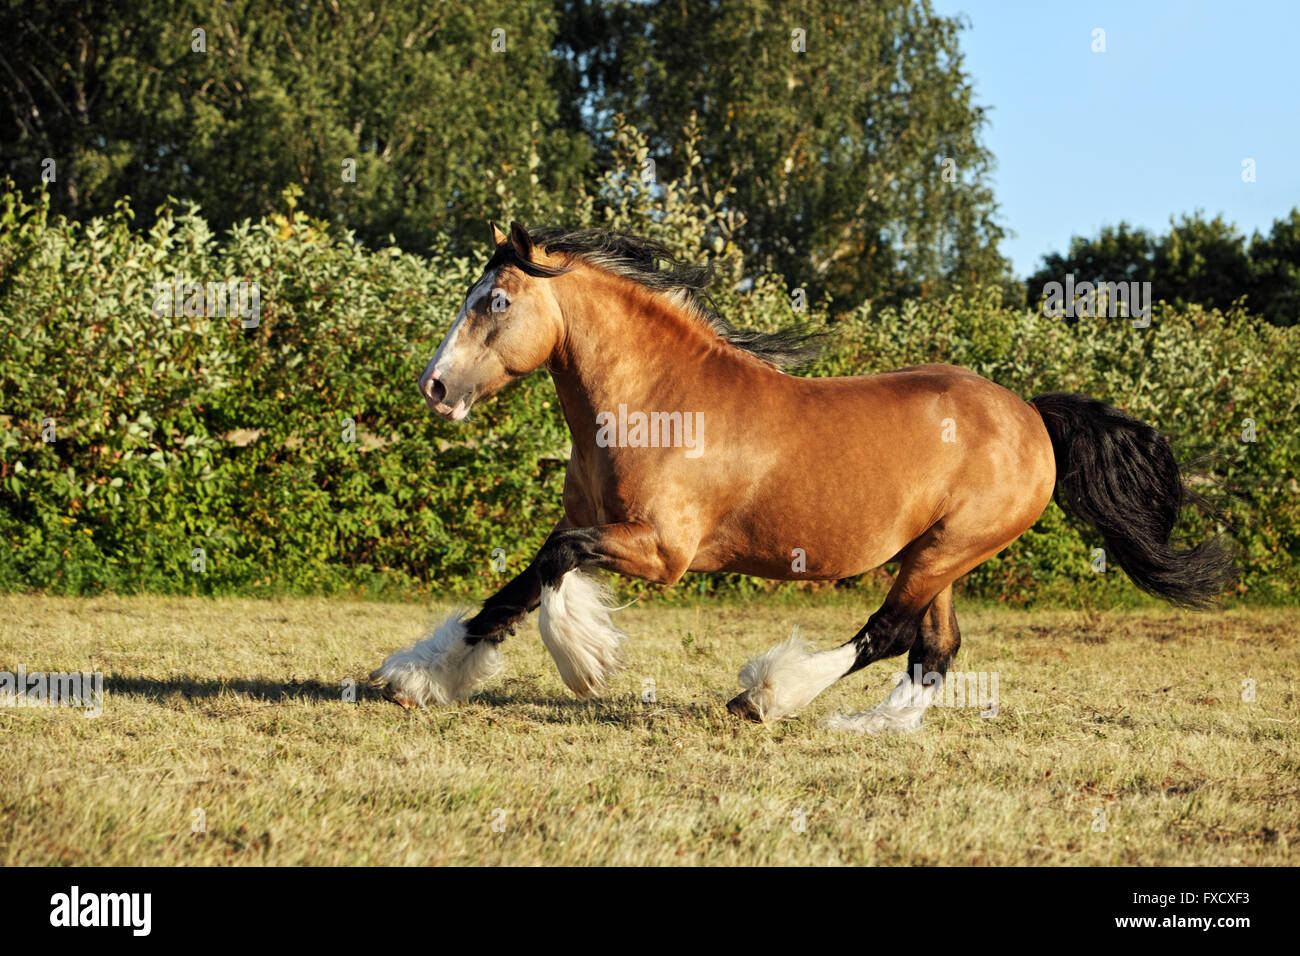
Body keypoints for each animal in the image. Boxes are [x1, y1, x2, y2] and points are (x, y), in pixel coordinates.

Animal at [371, 222, 1232, 733]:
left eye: (495, 301)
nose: (434, 387)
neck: (656, 402)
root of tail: (1030, 414)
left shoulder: (662, 552)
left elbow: (553, 571)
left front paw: (581, 661)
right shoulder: (593, 523)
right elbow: (516, 589)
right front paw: (416, 678)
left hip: (948, 549)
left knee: (889, 634)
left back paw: (767, 696)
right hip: (941, 554)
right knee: (935, 646)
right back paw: (871, 727)